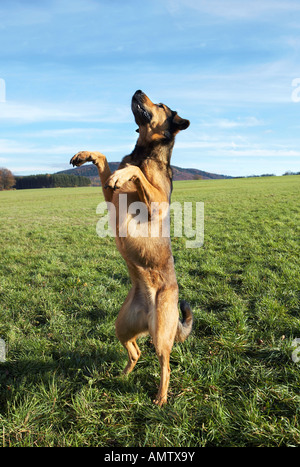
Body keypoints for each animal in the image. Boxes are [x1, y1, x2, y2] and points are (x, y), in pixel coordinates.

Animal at [69, 91, 192, 406]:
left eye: (160, 105)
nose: (137, 91)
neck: (145, 152)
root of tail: (147, 312)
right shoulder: (110, 197)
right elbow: (104, 160)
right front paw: (86, 155)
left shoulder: (157, 201)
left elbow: (132, 171)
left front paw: (122, 173)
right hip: (122, 325)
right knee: (135, 350)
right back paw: (123, 375)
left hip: (160, 334)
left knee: (165, 365)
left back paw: (161, 398)